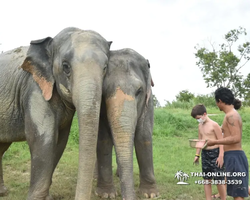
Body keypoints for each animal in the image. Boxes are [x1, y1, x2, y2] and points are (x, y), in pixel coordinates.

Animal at [0, 27, 111, 200]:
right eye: (65, 66)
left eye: (105, 68)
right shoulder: (35, 89)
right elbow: (43, 139)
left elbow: (60, 141)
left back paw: (2, 192)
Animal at [95, 48, 158, 200]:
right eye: (103, 93)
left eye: (139, 91)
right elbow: (103, 139)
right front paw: (106, 194)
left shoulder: (148, 101)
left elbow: (143, 136)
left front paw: (150, 194)